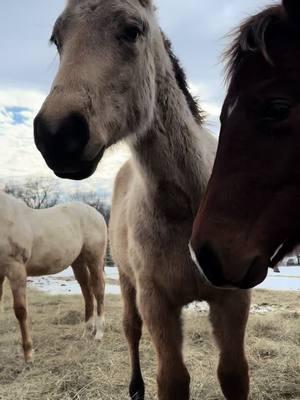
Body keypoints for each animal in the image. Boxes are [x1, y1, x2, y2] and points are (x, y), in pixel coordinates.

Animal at [0, 191, 107, 362]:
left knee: (98, 290)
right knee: (87, 291)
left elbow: (21, 311)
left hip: (94, 259)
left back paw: (99, 333)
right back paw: (87, 330)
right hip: (78, 261)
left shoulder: (16, 270)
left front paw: (29, 354)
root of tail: (96, 213)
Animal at [34, 0, 251, 400]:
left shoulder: (233, 299)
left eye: (132, 30)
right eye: (57, 39)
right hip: (126, 279)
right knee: (130, 329)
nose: (57, 134)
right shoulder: (157, 302)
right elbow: (172, 379)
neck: (187, 206)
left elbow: (233, 374)